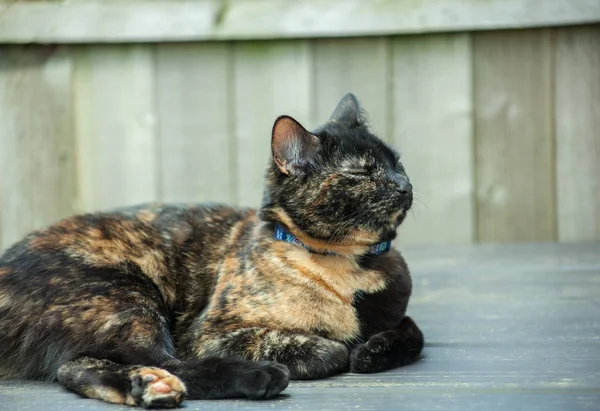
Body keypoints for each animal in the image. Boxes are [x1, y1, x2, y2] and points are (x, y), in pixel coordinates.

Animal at [0, 94, 422, 408]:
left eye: (398, 163)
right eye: (363, 172)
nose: (405, 184)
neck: (349, 265)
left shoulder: (398, 315)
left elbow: (411, 334)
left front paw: (372, 350)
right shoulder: (212, 334)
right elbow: (321, 350)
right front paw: (338, 349)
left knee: (77, 367)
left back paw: (149, 388)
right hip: (127, 294)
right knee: (165, 359)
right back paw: (257, 377)